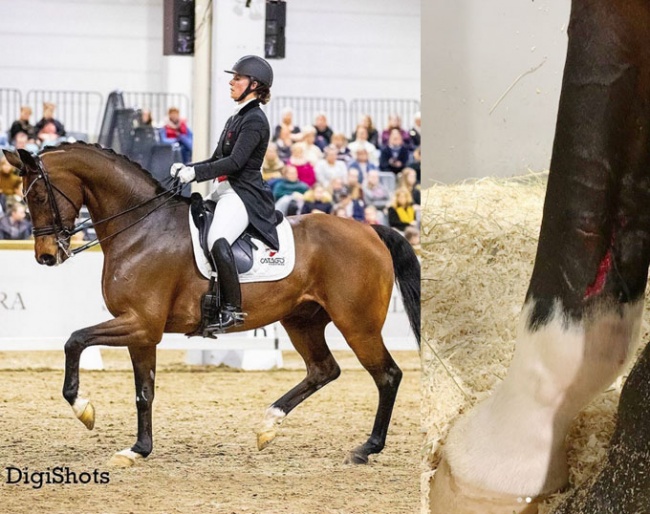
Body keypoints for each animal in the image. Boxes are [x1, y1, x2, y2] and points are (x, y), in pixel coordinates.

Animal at [2, 142, 420, 466]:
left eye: (38, 196)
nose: (45, 257)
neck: (141, 229)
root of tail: (369, 230)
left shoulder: (140, 323)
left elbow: (74, 340)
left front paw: (84, 409)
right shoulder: (143, 332)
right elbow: (143, 392)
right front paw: (139, 449)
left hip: (357, 323)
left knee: (387, 375)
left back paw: (366, 448)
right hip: (302, 320)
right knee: (323, 369)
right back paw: (267, 426)